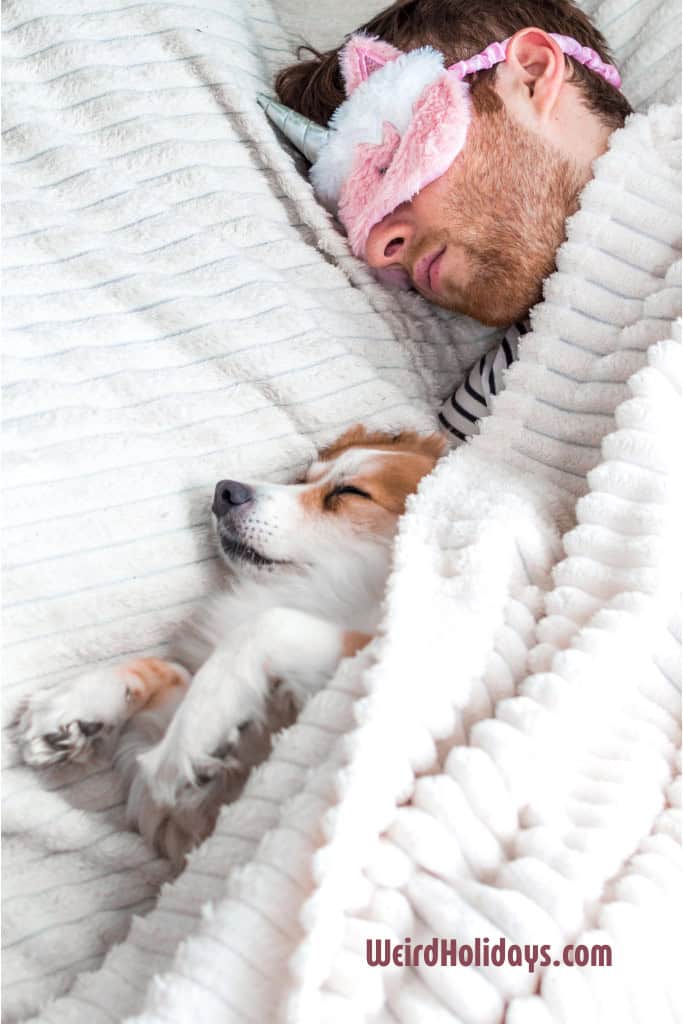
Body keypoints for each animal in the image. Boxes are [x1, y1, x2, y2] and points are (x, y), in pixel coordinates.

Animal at [17, 423, 448, 864]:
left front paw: (190, 738)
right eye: (302, 479)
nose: (225, 491)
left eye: (350, 492)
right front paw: (73, 708)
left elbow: (265, 626)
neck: (334, 591)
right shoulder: (196, 815)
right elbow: (173, 671)